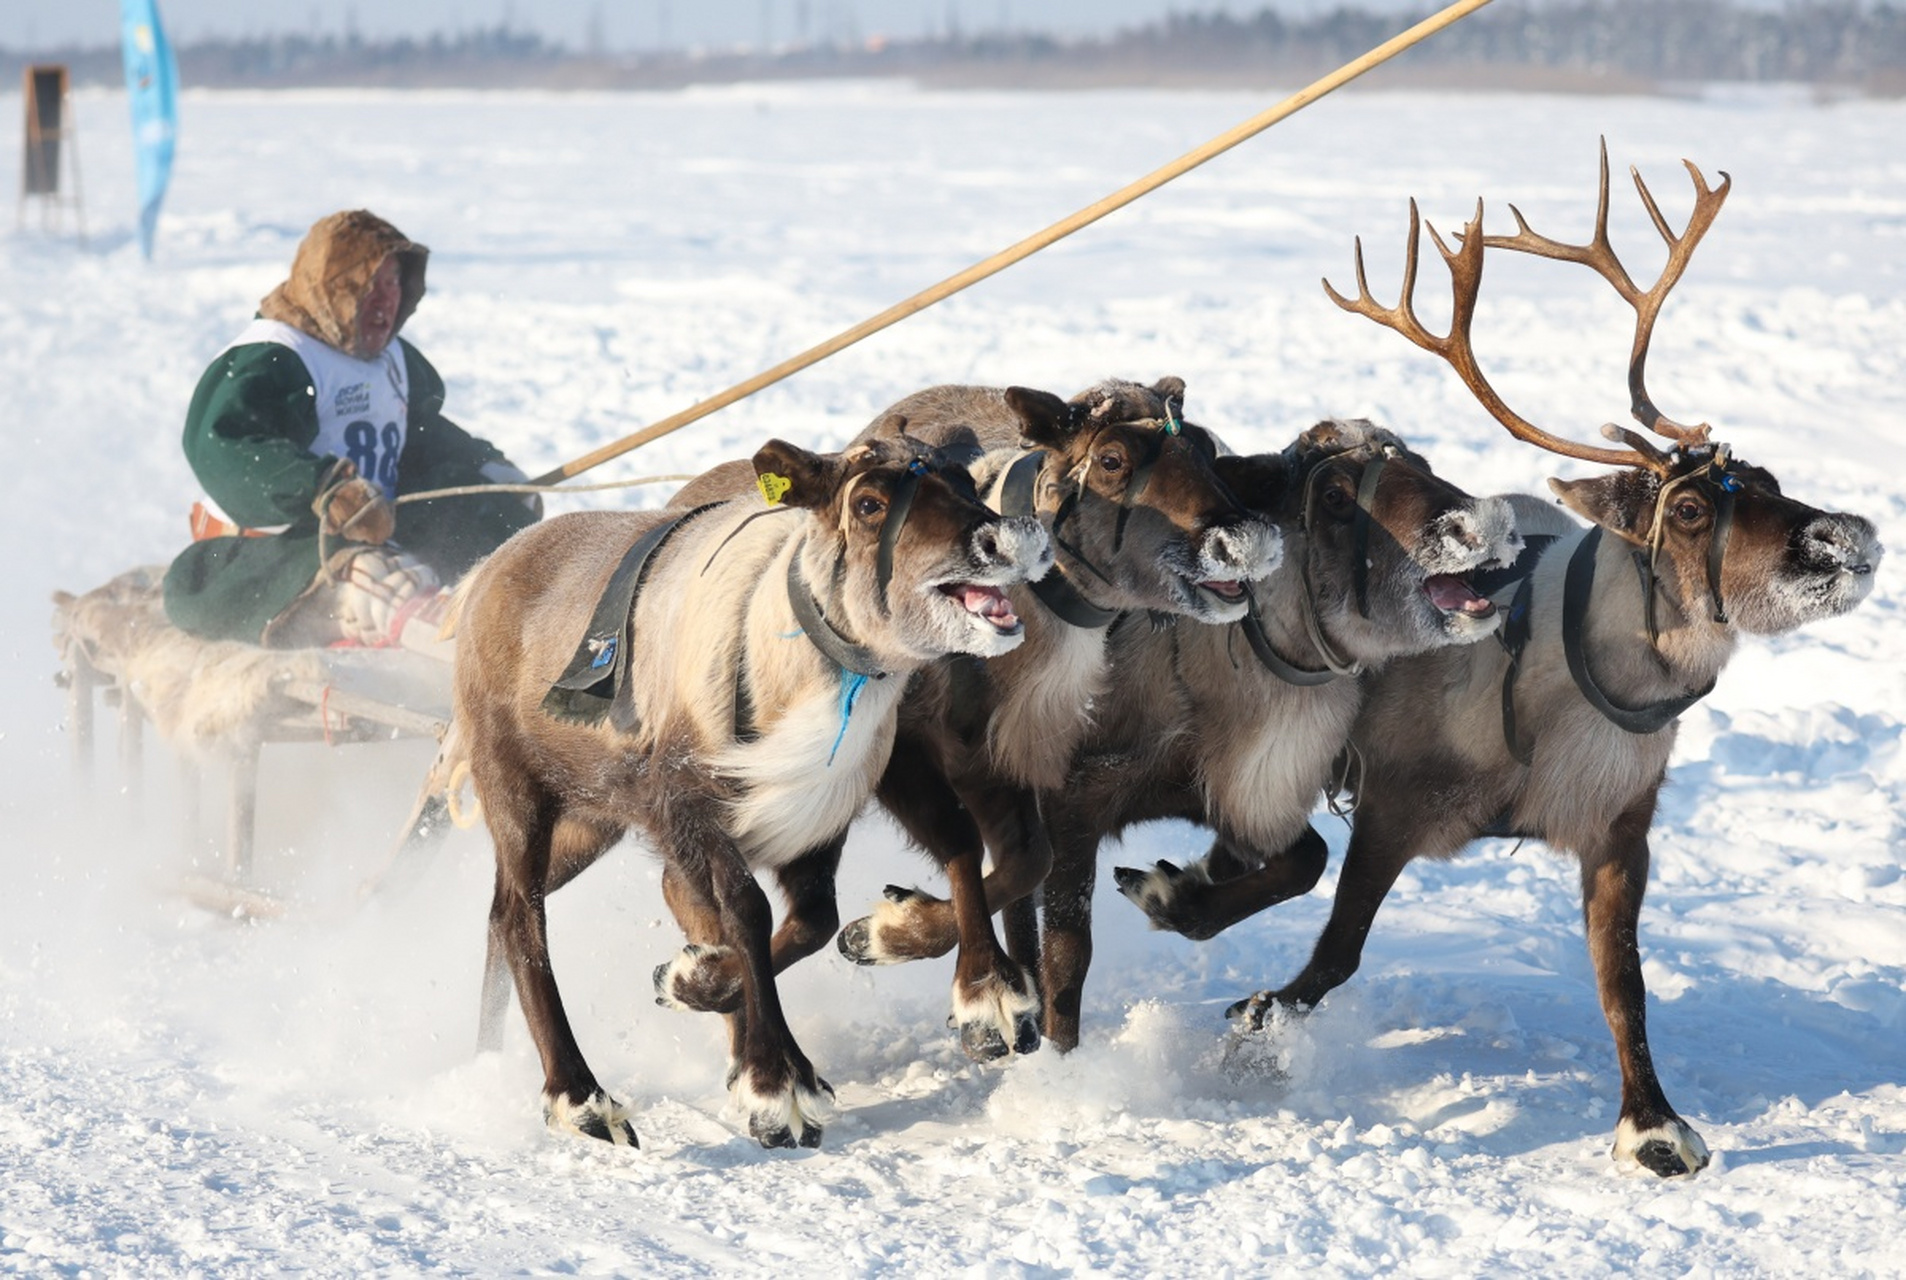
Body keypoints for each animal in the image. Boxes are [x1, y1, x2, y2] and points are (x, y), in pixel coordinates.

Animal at [454, 433, 1051, 1149]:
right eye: (869, 503)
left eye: (964, 481)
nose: (1010, 537)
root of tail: (482, 572)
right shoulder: (688, 805)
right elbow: (748, 910)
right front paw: (776, 1082)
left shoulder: (837, 801)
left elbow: (831, 912)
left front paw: (985, 993)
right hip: (516, 790)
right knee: (522, 917)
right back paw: (578, 1096)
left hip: (589, 820)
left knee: (499, 911)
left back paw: (487, 1061)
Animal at [1031, 417, 1521, 1052]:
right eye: (1333, 495)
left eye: (1421, 463)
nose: (1482, 523)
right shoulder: (1070, 796)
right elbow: (1067, 953)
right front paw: (1056, 1062)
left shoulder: (1220, 792)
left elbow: (1308, 859)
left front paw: (1174, 895)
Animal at [1174, 143, 1880, 1177]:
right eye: (1692, 508)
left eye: (1772, 480)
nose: (1846, 536)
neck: (1575, 683)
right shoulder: (1392, 801)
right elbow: (1335, 951)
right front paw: (1253, 1023)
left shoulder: (1620, 832)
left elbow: (1624, 983)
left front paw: (1653, 1126)